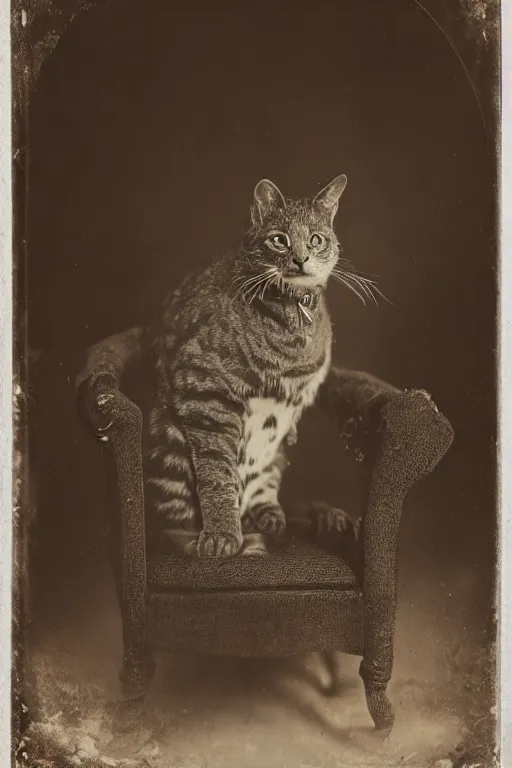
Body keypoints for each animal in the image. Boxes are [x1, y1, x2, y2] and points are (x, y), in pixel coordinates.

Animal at [146, 175, 350, 560]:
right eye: (279, 239)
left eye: (316, 239)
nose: (301, 259)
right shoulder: (207, 394)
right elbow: (217, 474)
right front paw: (222, 534)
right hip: (172, 449)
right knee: (174, 519)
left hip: (275, 457)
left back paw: (282, 516)